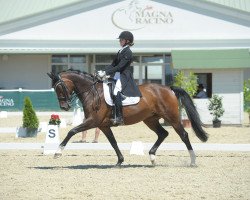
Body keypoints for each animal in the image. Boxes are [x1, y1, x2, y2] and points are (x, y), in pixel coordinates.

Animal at [47, 69, 208, 166]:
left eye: (60, 87)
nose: (64, 107)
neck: (92, 92)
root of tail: (169, 88)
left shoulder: (93, 121)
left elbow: (71, 131)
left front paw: (57, 152)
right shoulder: (103, 125)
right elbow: (113, 142)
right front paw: (120, 161)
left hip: (172, 118)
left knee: (184, 135)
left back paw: (193, 161)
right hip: (150, 119)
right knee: (163, 133)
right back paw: (152, 157)